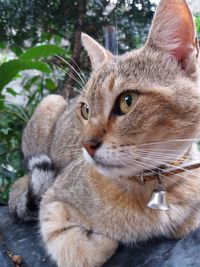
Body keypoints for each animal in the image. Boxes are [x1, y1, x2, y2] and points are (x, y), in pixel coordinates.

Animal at [8, 0, 200, 266]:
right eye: (85, 110)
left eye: (127, 101)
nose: (85, 145)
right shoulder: (52, 200)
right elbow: (76, 249)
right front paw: (101, 241)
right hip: (49, 102)